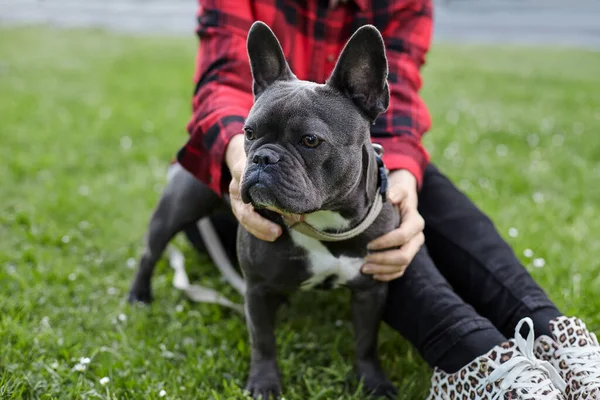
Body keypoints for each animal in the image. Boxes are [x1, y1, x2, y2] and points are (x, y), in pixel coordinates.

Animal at [132, 21, 404, 400]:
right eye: (248, 132)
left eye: (310, 140)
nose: (263, 157)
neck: (322, 223)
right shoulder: (257, 289)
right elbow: (262, 340)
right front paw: (264, 384)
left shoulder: (371, 290)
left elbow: (366, 342)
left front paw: (374, 382)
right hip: (177, 207)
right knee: (151, 251)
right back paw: (138, 297)